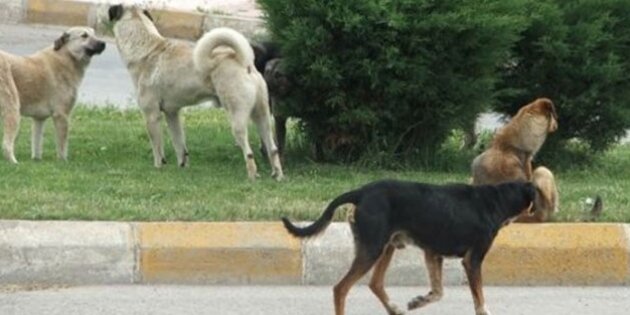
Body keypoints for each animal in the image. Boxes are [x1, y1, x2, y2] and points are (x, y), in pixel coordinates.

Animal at [0, 26, 106, 163]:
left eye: (94, 34)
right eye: (84, 36)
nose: (103, 43)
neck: (67, 56)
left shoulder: (39, 119)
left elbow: (37, 143)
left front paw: (36, 160)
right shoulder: (62, 115)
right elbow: (62, 146)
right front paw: (63, 162)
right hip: (12, 108)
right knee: (6, 144)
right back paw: (14, 162)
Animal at [108, 4, 284, 180]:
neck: (147, 49)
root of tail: (241, 60)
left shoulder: (151, 116)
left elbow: (158, 149)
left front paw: (158, 168)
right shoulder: (172, 114)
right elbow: (179, 145)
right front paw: (182, 167)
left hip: (237, 119)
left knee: (248, 152)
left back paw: (253, 176)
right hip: (262, 116)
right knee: (272, 148)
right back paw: (278, 175)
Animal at [284, 180, 536, 315]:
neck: (495, 199)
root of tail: (362, 191)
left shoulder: (433, 254)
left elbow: (438, 292)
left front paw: (419, 301)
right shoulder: (472, 260)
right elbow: (479, 299)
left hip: (387, 246)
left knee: (375, 283)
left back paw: (394, 308)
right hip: (373, 248)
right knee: (340, 288)